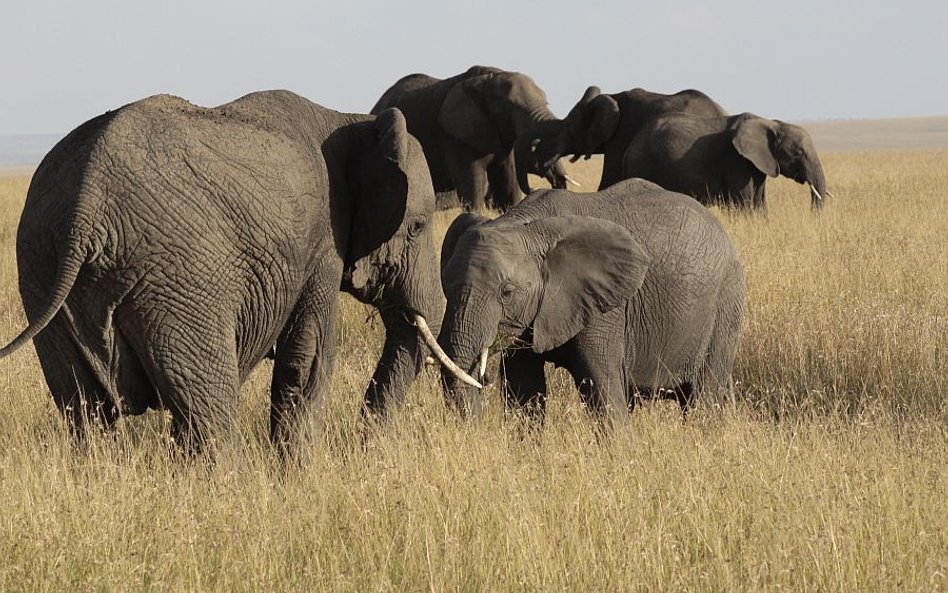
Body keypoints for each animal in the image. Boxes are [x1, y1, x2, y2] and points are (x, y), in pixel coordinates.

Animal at [372, 65, 572, 212]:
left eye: (547, 102)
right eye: (508, 107)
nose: (536, 190)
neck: (489, 78)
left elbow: (508, 185)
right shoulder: (455, 136)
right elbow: (473, 185)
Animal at [432, 176, 748, 426]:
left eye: (506, 292)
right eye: (444, 284)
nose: (484, 377)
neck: (526, 226)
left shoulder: (605, 307)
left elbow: (601, 386)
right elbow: (525, 391)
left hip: (726, 302)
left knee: (703, 395)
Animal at [624, 112, 824, 212]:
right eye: (798, 153)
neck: (772, 123)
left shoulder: (759, 163)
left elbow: (759, 202)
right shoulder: (735, 160)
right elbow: (744, 203)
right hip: (642, 164)